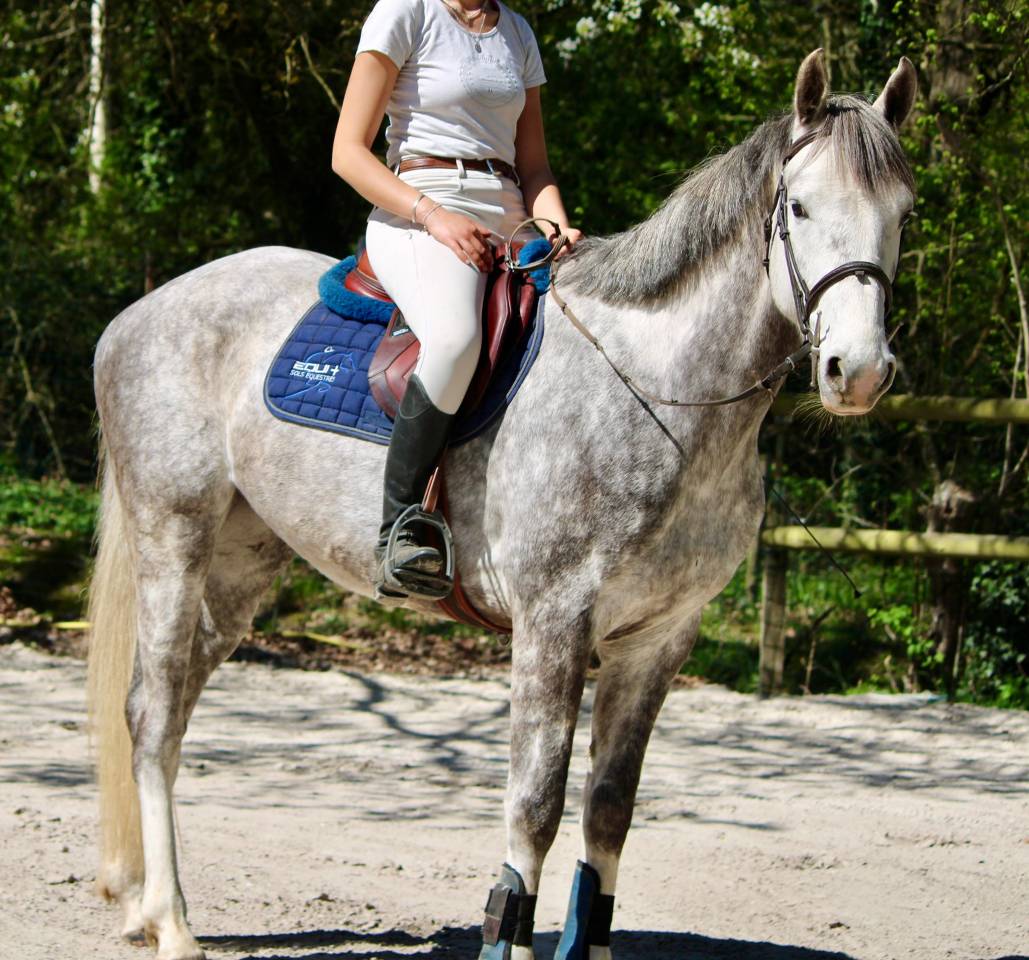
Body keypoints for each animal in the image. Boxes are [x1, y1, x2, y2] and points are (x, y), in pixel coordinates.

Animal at [86, 50, 916, 960]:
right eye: (798, 207)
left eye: (902, 214)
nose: (857, 371)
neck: (658, 386)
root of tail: (139, 312)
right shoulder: (554, 621)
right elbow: (536, 804)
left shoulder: (658, 639)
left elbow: (608, 809)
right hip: (174, 536)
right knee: (151, 712)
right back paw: (170, 922)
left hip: (240, 563)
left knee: (174, 708)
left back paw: (142, 903)